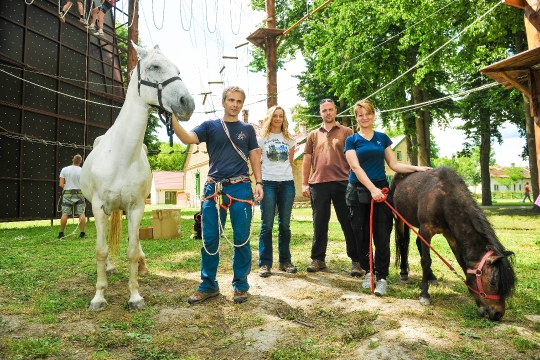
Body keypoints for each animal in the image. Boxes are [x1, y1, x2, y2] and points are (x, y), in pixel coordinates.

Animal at [81, 43, 195, 310]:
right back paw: (109, 268)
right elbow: (100, 250)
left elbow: (132, 250)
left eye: (178, 69)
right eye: (155, 66)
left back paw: (142, 264)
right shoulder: (99, 207)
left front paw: (135, 296)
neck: (122, 156)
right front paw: (99, 296)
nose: (187, 103)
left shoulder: (135, 207)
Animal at [390, 167, 516, 322]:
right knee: (403, 243)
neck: (443, 198)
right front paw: (424, 294)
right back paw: (403, 272)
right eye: (493, 282)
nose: (498, 314)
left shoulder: (450, 235)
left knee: (418, 243)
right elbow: (425, 261)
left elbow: (461, 261)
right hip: (399, 218)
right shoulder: (426, 229)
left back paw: (431, 277)